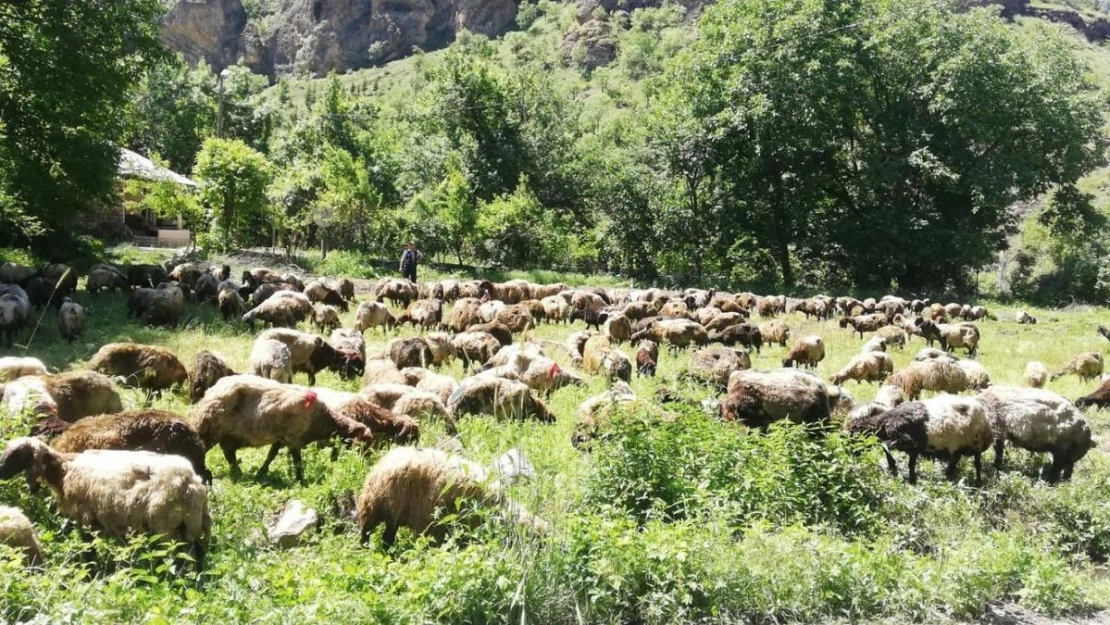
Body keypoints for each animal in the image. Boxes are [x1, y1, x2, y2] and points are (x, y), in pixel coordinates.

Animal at [0, 437, 209, 568]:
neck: (64, 472)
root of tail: (188, 481)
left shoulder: (85, 518)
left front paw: (89, 572)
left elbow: (88, 549)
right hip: (193, 523)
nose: (0, 470)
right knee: (198, 553)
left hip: (164, 525)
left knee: (173, 558)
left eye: (20, 453)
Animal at [190, 375, 377, 481]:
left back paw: (238, 473)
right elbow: (298, 462)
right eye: (363, 445)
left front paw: (262, 472)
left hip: (226, 436)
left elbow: (271, 456)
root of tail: (210, 391)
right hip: (210, 430)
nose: (365, 466)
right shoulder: (294, 438)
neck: (322, 419)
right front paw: (300, 481)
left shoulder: (281, 438)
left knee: (229, 455)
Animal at [843, 392, 994, 486]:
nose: (851, 453)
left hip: (976, 444)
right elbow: (910, 464)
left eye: (854, 434)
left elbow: (884, 445)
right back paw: (948, 475)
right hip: (960, 446)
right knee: (956, 459)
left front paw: (894, 467)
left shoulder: (910, 442)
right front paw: (911, 479)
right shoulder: (912, 448)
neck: (886, 422)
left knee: (977, 464)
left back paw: (978, 482)